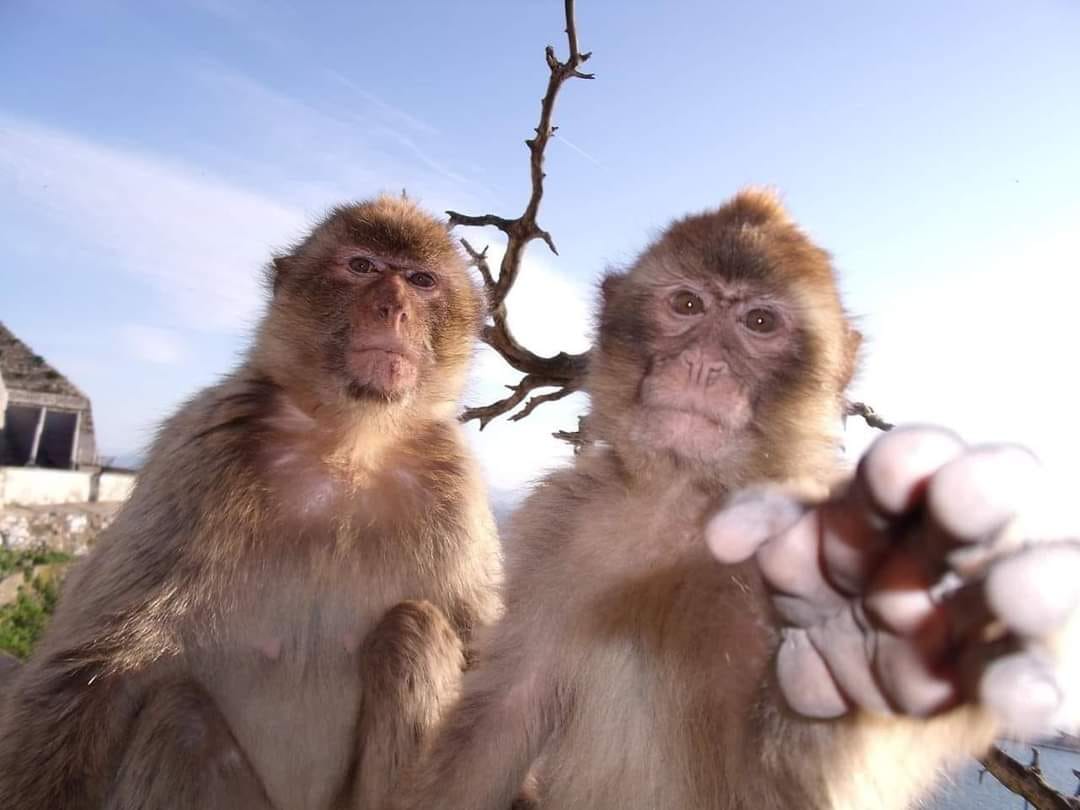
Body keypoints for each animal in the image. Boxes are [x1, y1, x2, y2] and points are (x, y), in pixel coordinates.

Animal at [0, 194, 504, 810]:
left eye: (420, 280)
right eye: (361, 266)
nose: (393, 308)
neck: (349, 443)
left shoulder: (454, 485)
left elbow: (483, 645)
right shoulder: (203, 449)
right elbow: (92, 665)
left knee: (415, 629)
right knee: (179, 717)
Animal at [383, 189, 1080, 810]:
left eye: (759, 323)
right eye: (687, 304)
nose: (701, 365)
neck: (686, 505)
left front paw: (863, 658)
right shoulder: (562, 524)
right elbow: (502, 717)